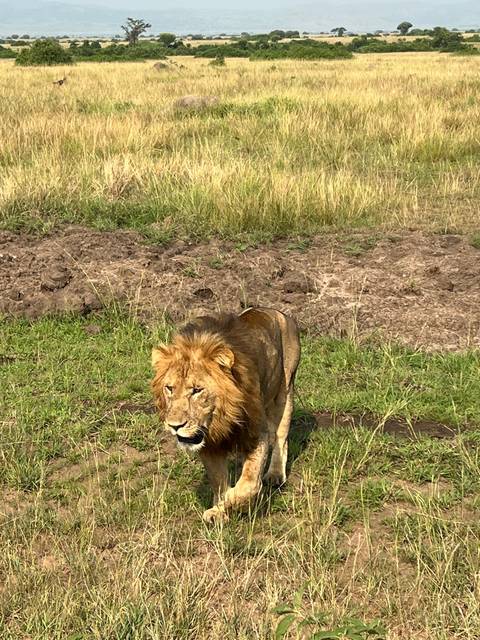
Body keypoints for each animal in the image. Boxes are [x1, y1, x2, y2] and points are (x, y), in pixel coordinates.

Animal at [151, 307, 301, 523]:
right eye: (169, 388)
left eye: (197, 390)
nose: (174, 426)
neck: (221, 418)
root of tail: (276, 311)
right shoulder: (210, 445)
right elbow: (218, 480)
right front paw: (219, 511)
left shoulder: (257, 433)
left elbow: (249, 481)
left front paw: (233, 499)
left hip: (285, 391)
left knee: (281, 436)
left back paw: (275, 475)